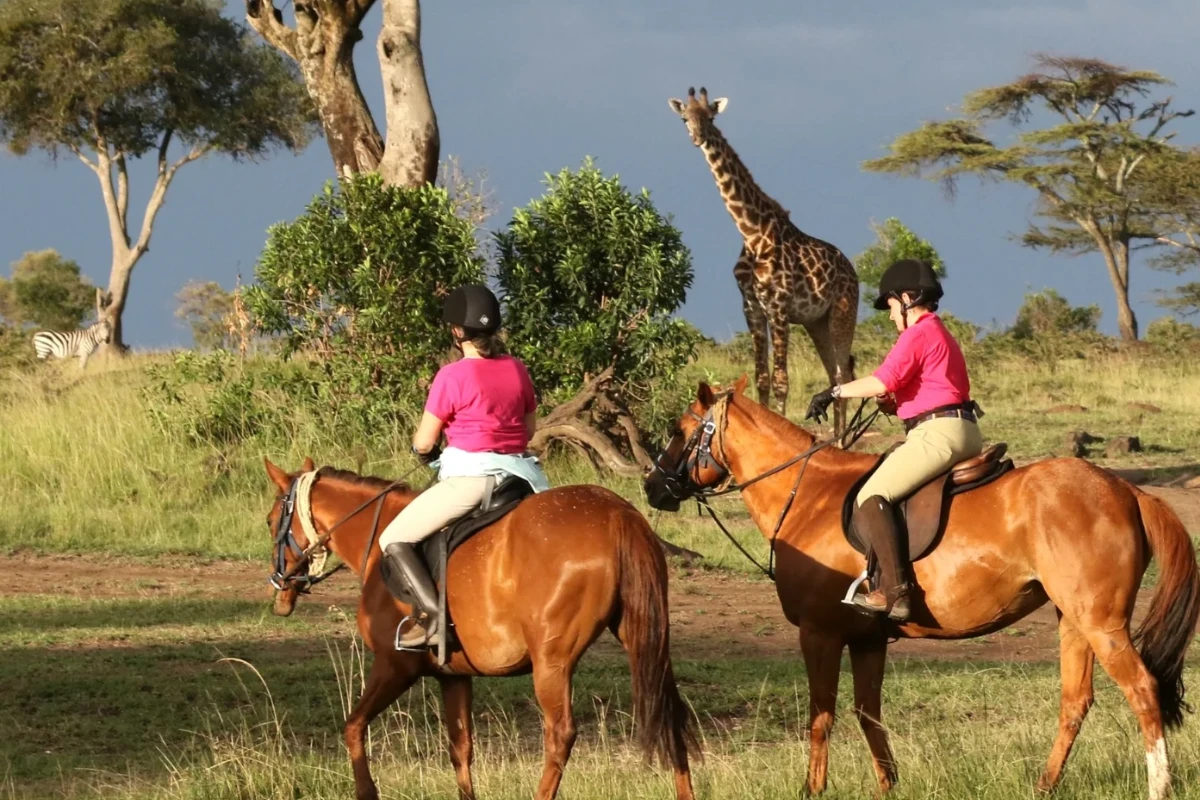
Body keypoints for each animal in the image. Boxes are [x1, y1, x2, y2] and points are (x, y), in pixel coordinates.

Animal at [262, 458, 696, 800]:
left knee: (560, 736)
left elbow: (353, 727)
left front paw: (367, 792)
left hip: (551, 663)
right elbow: (461, 748)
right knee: (670, 714)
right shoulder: (453, 676)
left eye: (270, 522)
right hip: (644, 638)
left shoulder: (394, 666)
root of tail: (617, 512)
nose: (279, 592)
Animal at [643, 377, 1199, 800]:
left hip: (1102, 623)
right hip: (1074, 620)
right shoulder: (867, 639)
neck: (807, 494)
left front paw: (812, 789)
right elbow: (868, 715)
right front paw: (888, 786)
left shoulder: (819, 634)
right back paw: (1044, 785)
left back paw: (1158, 787)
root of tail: (1124, 488)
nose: (652, 487)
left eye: (679, 430)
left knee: (1142, 690)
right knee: (1075, 701)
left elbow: (822, 717)